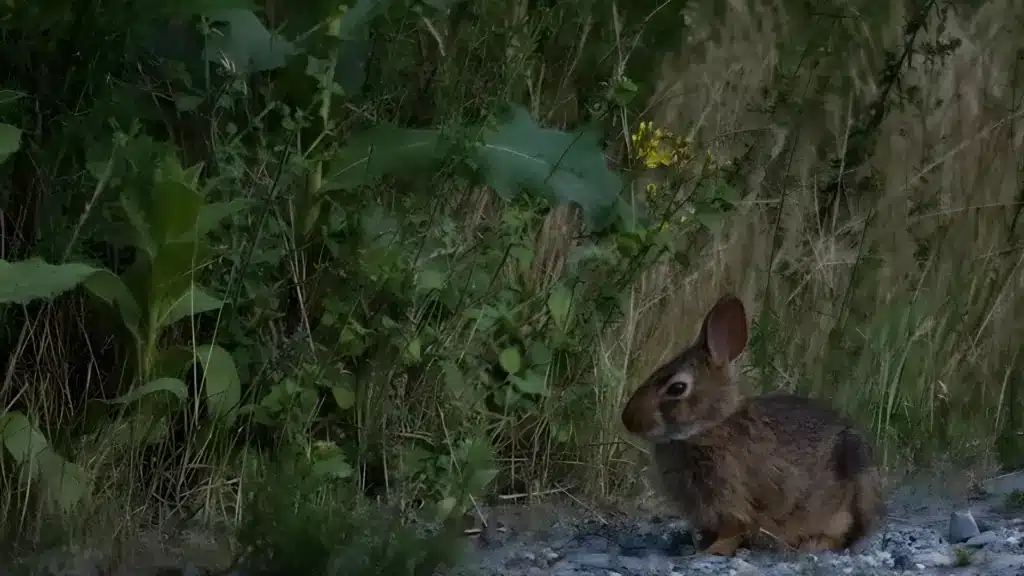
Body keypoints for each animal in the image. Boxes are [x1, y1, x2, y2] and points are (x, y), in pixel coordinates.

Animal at [620, 294, 885, 557]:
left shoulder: (733, 503)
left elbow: (733, 531)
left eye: (677, 388)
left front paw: (712, 551)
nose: (628, 420)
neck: (709, 428)